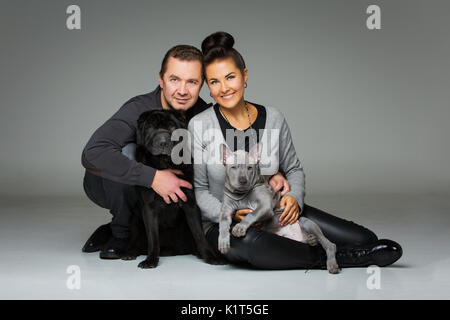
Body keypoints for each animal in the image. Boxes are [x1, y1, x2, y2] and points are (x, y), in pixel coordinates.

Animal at [121, 109, 227, 268]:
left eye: (171, 126)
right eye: (150, 126)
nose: (163, 142)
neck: (165, 163)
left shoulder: (190, 204)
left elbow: (199, 234)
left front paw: (210, 256)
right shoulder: (148, 207)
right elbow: (153, 236)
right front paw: (151, 260)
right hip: (135, 217)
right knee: (134, 237)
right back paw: (130, 252)